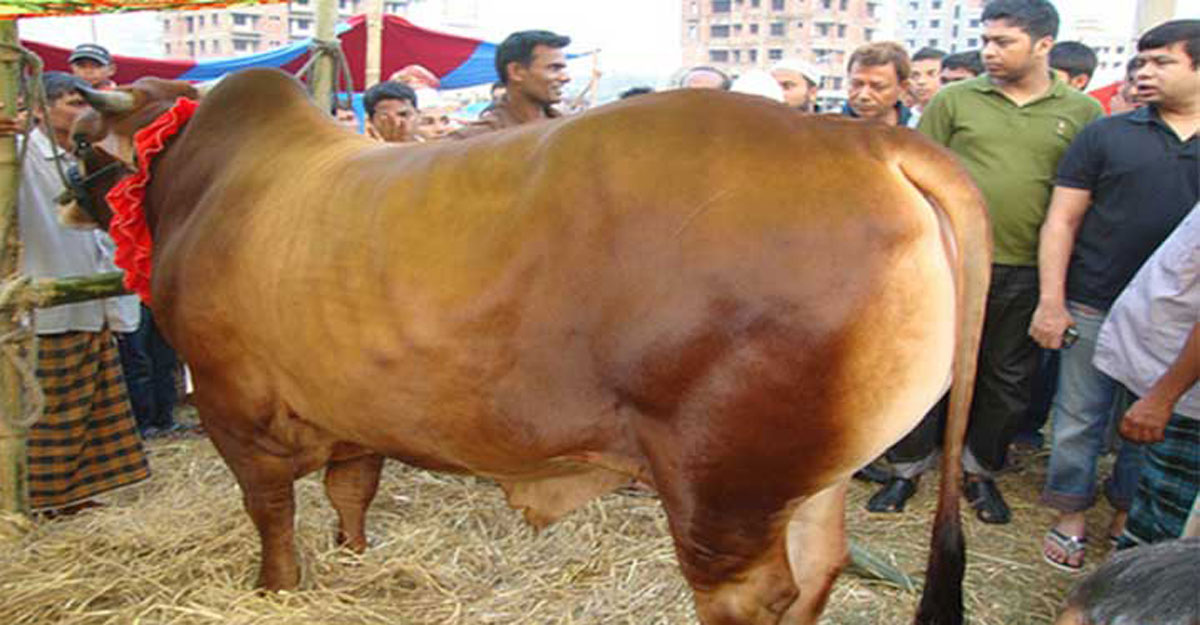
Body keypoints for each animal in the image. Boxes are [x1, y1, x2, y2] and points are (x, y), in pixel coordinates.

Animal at [68, 68, 990, 625]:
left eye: (79, 138)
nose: (74, 198)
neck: (205, 182)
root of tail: (858, 137)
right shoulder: (350, 410)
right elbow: (351, 490)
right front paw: (354, 556)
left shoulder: (233, 405)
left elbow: (271, 514)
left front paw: (276, 590)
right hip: (805, 477)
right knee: (820, 565)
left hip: (722, 486)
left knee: (754, 594)